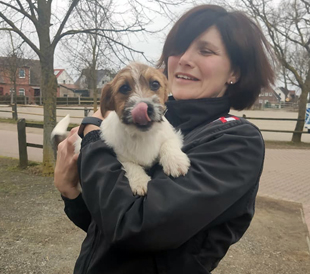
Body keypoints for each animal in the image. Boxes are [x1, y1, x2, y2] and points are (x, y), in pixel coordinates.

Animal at [52, 62, 190, 195]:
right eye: (124, 88)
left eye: (155, 84)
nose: (145, 108)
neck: (142, 136)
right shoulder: (120, 154)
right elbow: (130, 164)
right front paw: (140, 181)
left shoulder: (172, 134)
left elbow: (168, 142)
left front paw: (174, 161)